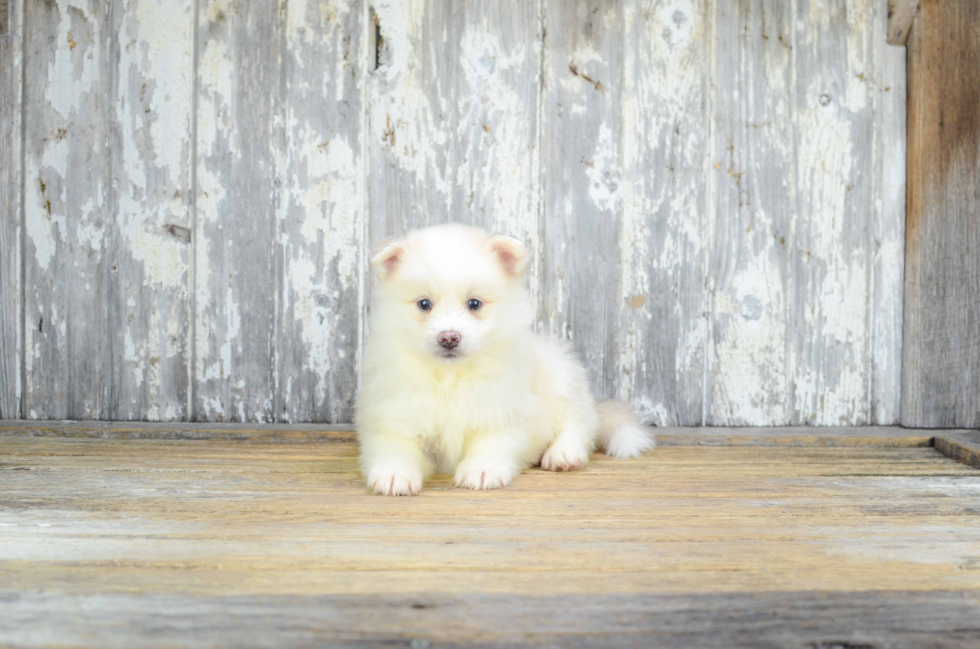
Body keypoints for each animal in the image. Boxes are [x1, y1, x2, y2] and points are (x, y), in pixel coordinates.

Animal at [352, 224, 652, 496]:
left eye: (474, 304)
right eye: (424, 304)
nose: (449, 338)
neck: (450, 377)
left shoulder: (502, 410)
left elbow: (492, 442)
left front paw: (482, 470)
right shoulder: (393, 414)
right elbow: (396, 446)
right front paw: (394, 474)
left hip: (563, 378)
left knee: (580, 422)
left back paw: (563, 454)